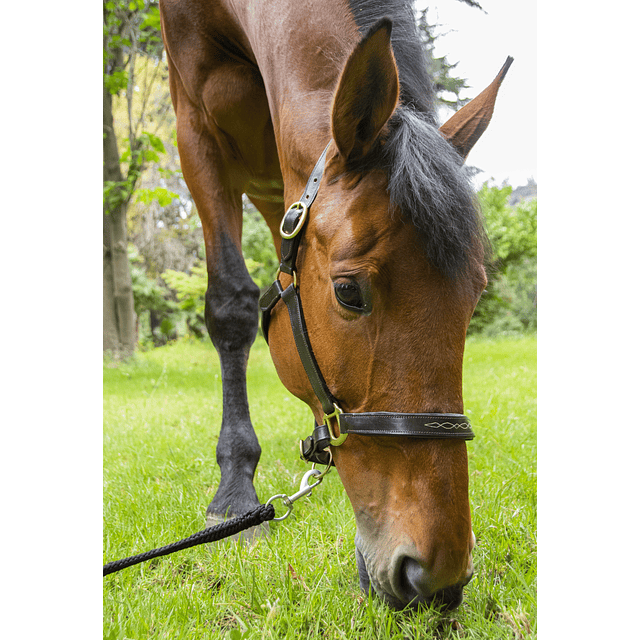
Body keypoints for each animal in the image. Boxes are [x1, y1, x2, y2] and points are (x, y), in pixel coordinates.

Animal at [159, 0, 510, 608]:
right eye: (348, 292)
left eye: (474, 297)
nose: (438, 574)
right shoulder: (195, 127)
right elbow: (231, 303)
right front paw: (234, 495)